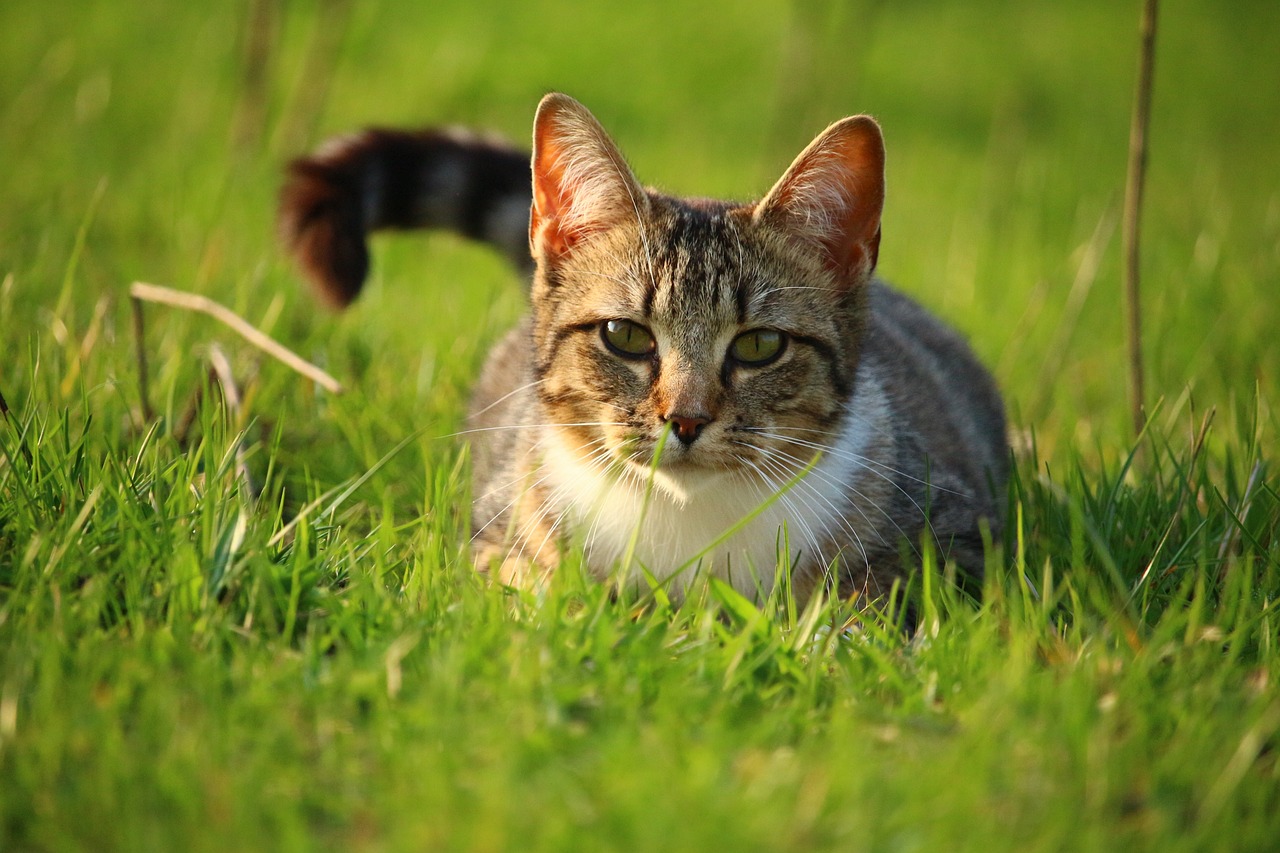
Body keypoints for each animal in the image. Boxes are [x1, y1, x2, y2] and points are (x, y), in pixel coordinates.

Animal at [280, 92, 1008, 604]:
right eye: (625, 335)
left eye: (760, 345)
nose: (684, 419)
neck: (687, 521)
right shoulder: (493, 533)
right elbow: (530, 586)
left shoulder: (958, 535)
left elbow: (873, 599)